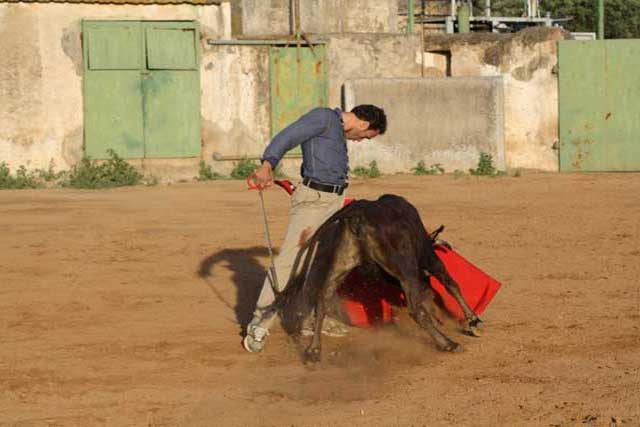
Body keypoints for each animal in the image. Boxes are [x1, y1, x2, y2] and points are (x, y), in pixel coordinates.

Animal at [258, 196, 482, 362]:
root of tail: (358, 212)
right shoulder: (428, 258)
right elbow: (449, 283)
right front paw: (473, 320)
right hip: (405, 268)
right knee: (415, 309)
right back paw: (448, 344)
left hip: (340, 263)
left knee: (321, 301)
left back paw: (313, 352)